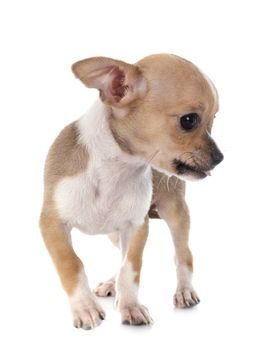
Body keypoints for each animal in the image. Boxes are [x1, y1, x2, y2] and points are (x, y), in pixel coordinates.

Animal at [39, 53, 223, 330]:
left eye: (214, 119)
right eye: (189, 120)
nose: (220, 158)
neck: (115, 172)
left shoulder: (137, 227)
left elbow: (130, 268)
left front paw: (130, 306)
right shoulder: (52, 224)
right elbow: (72, 263)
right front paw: (85, 308)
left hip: (174, 211)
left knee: (183, 254)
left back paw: (184, 291)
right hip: (114, 233)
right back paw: (109, 283)